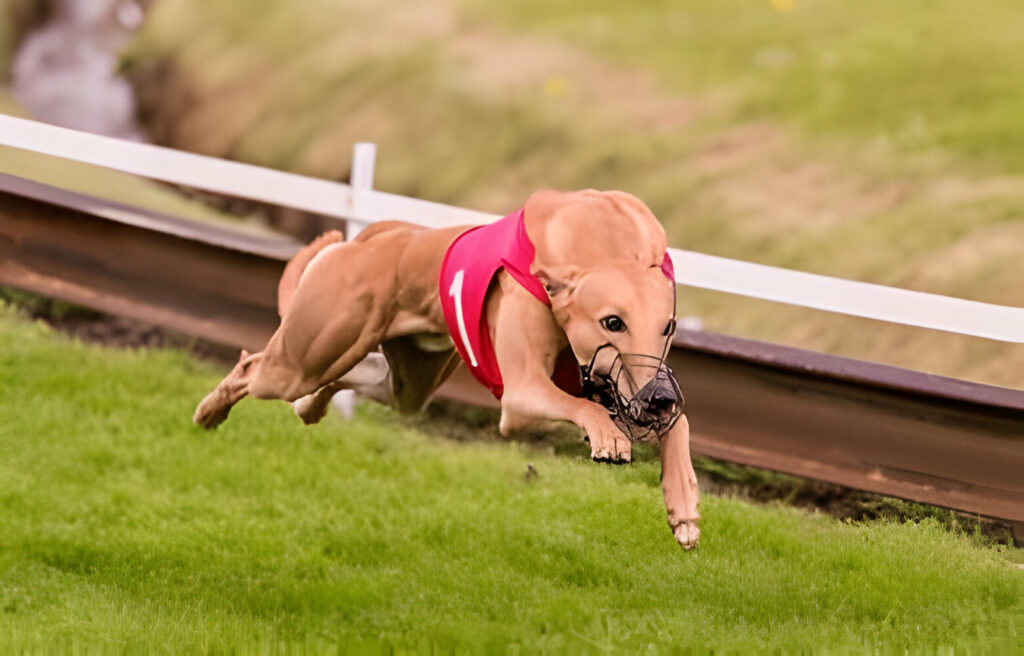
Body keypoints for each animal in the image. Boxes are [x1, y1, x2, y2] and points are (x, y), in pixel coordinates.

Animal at [194, 189, 700, 548]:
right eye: (612, 322)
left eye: (669, 327)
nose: (658, 398)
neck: (607, 244)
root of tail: (371, 239)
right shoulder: (520, 398)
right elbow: (585, 409)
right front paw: (610, 439)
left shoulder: (621, 385)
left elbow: (678, 424)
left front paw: (684, 508)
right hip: (300, 360)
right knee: (253, 366)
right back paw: (210, 412)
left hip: (406, 380)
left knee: (347, 381)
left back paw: (309, 408)